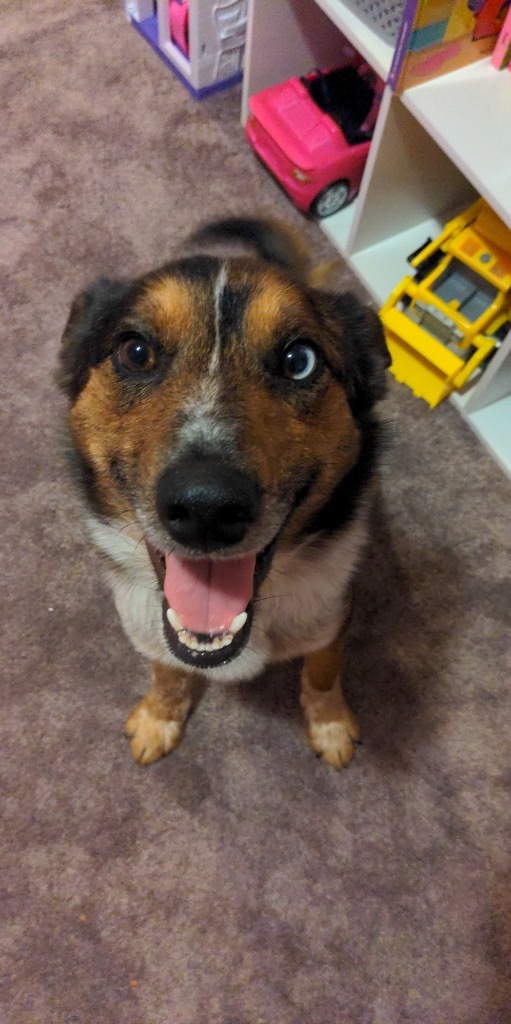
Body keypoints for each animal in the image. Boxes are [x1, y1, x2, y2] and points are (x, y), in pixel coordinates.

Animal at [58, 218, 389, 770]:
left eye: (300, 359)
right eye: (136, 352)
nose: (206, 508)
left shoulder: (333, 613)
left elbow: (323, 670)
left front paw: (330, 725)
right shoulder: (147, 626)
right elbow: (166, 670)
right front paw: (159, 717)